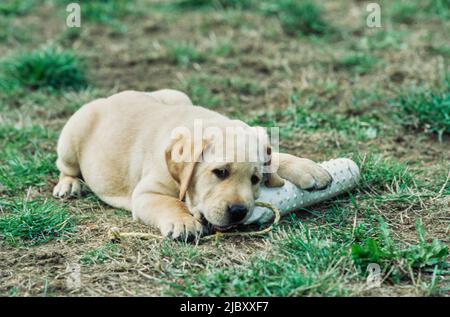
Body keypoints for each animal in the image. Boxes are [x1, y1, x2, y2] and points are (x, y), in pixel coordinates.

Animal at [54, 90, 332, 238]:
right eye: (220, 172)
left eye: (255, 179)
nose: (239, 212)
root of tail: (109, 98)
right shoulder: (146, 193)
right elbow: (169, 202)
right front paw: (183, 222)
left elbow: (274, 157)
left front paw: (309, 168)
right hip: (72, 135)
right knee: (65, 166)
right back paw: (68, 185)